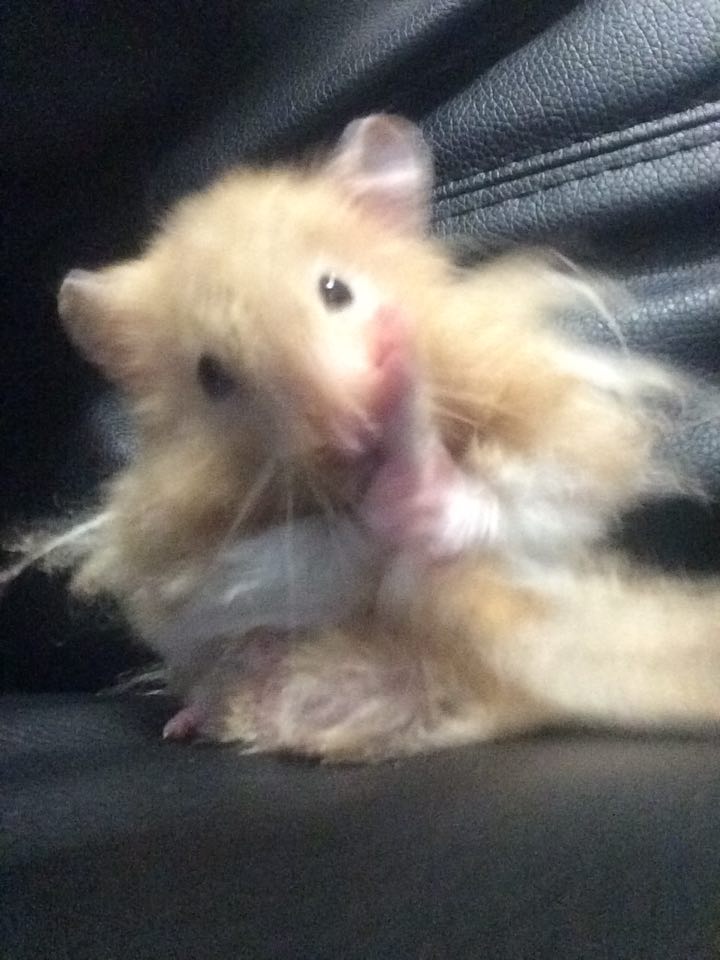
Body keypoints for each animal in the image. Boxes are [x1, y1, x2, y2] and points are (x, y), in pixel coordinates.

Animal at [48, 113, 720, 761]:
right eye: (212, 375)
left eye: (336, 290)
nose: (353, 429)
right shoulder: (186, 565)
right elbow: (317, 549)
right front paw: (388, 493)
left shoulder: (565, 436)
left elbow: (528, 493)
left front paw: (415, 455)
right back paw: (200, 716)